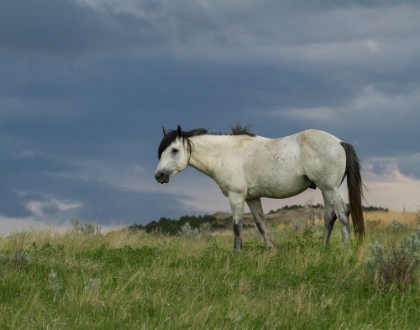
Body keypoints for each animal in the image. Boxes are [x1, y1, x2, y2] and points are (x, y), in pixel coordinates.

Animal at [155, 125, 364, 251]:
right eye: (161, 152)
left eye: (174, 150)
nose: (159, 176)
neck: (226, 153)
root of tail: (339, 142)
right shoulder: (252, 198)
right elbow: (261, 223)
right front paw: (271, 249)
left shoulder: (236, 196)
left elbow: (237, 225)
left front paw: (237, 253)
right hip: (326, 189)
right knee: (329, 217)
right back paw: (323, 248)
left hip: (329, 188)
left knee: (342, 212)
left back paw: (346, 247)